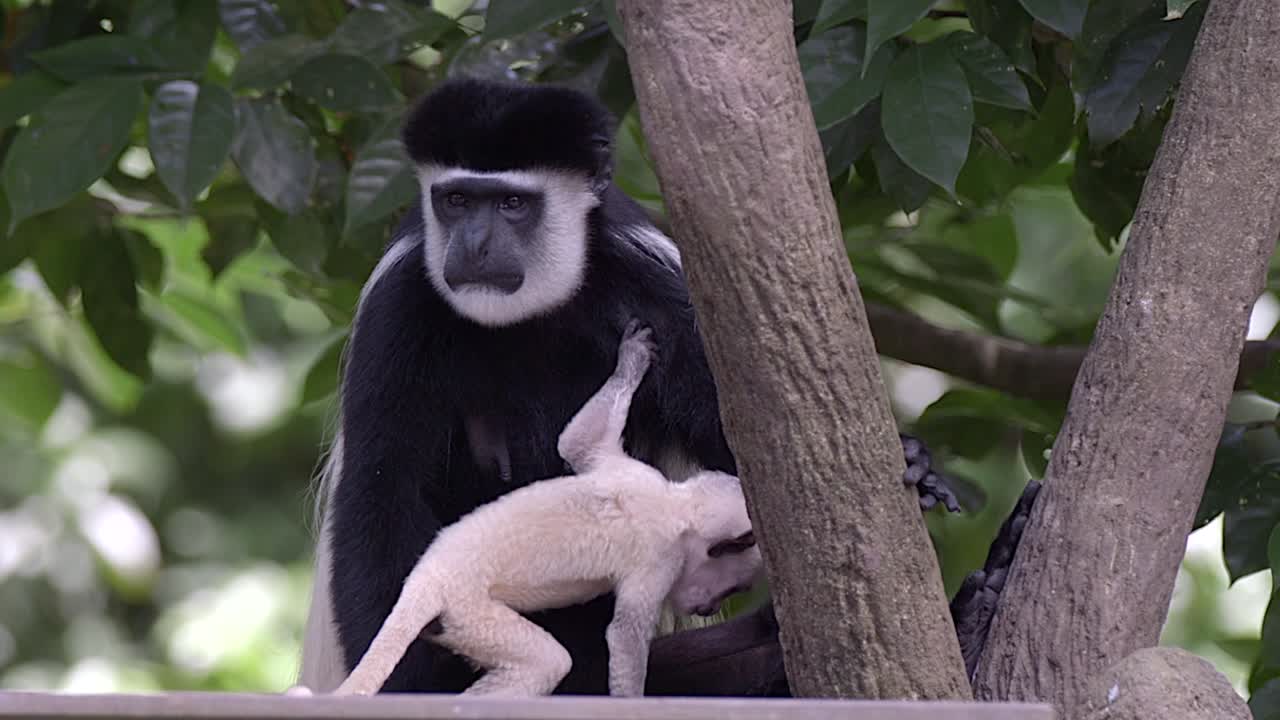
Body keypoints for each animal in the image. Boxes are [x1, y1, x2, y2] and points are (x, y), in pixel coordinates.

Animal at [332, 322, 762, 698]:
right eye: (734, 587)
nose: (709, 606)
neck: (679, 507)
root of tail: (424, 581)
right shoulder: (661, 559)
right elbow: (624, 637)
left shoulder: (630, 472)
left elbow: (575, 443)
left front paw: (632, 358)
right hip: (468, 610)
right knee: (546, 663)